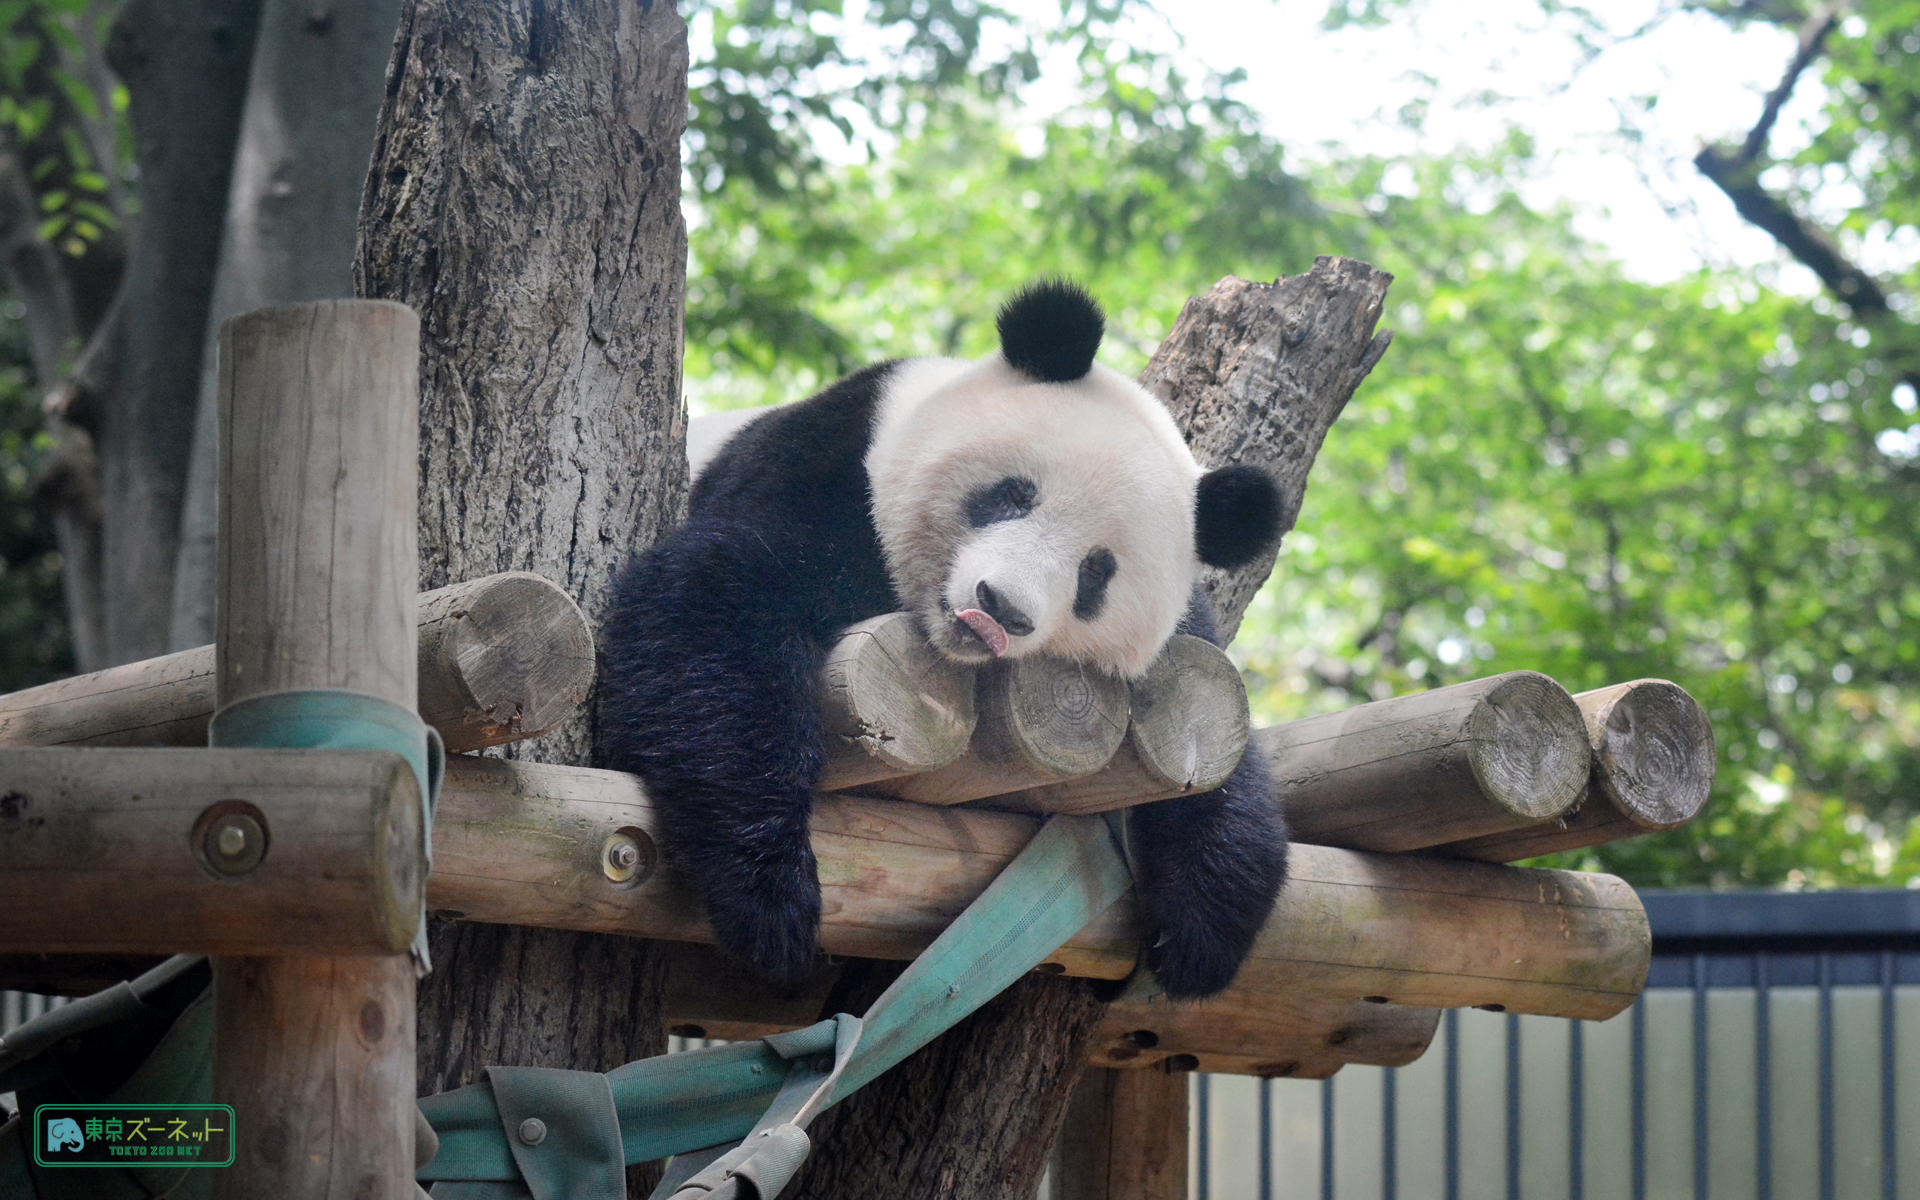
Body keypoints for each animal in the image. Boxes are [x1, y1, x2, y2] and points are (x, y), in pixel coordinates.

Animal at [599, 282, 1290, 998]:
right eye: (1014, 495)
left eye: (1096, 572)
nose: (1001, 607)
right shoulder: (825, 471)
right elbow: (714, 604)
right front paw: (768, 900)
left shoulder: (1185, 635)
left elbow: (1217, 745)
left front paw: (1203, 931)